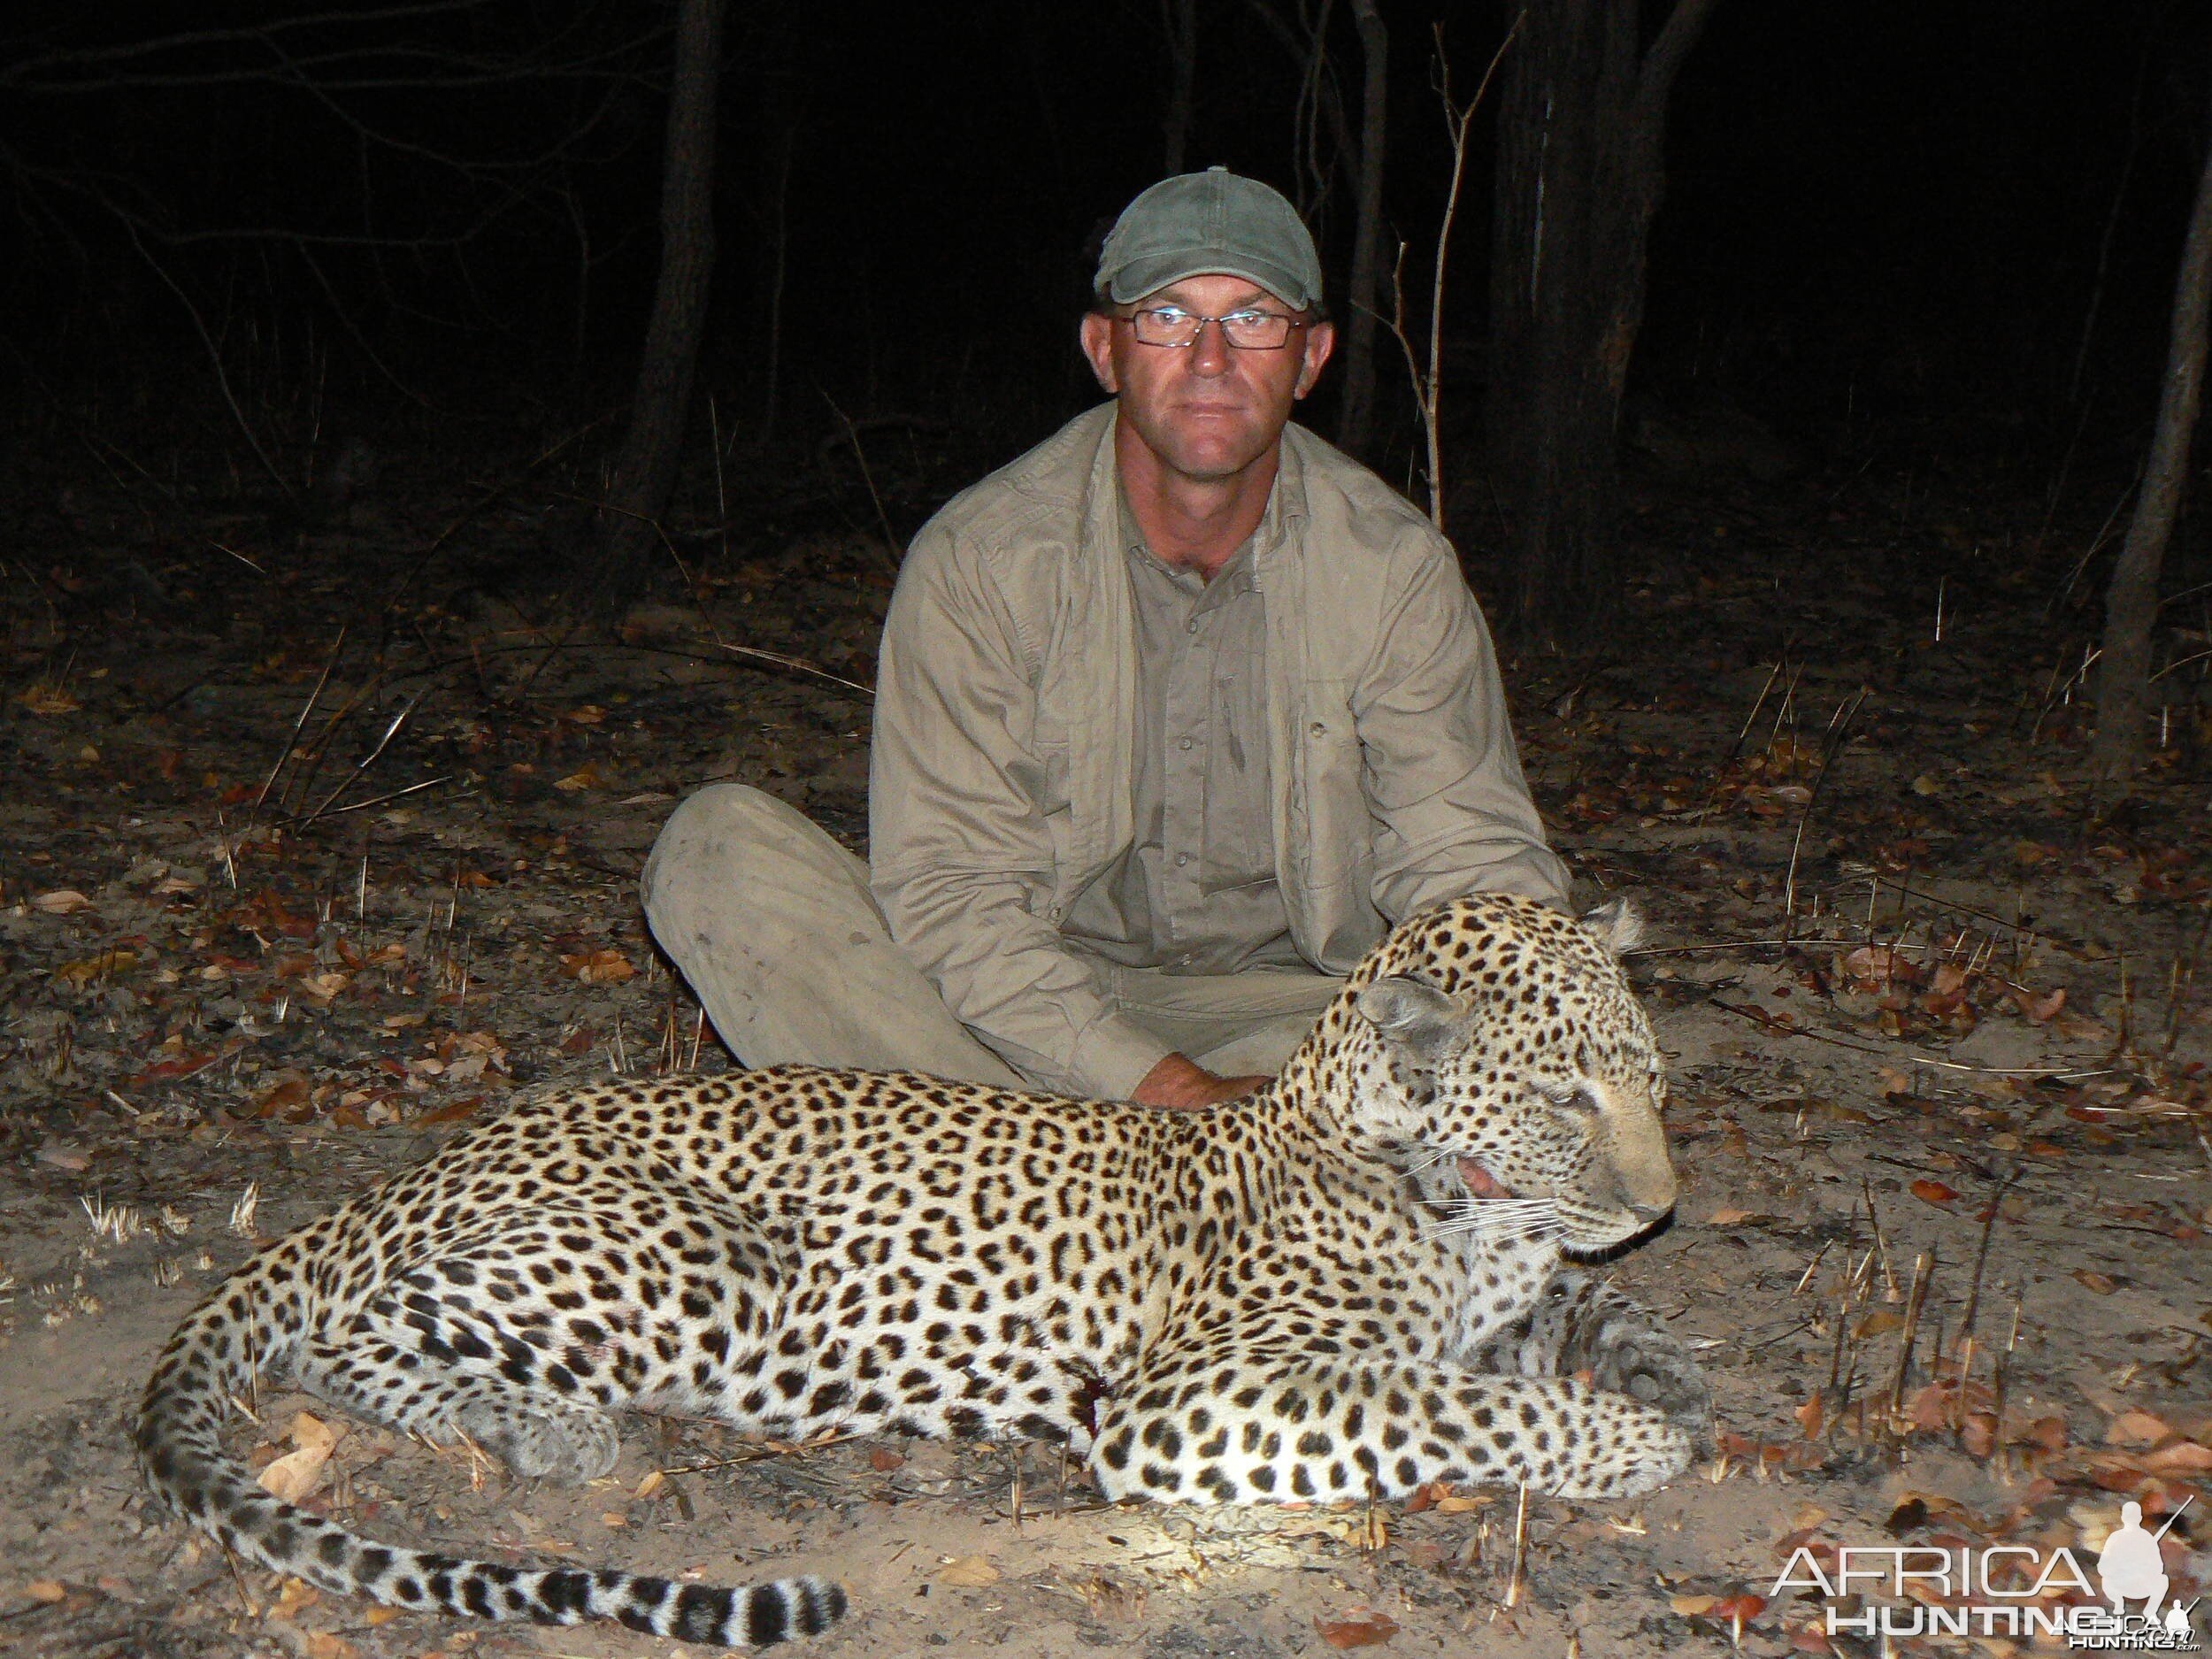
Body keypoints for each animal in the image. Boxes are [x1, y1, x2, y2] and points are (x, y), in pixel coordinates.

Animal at [138, 898, 1708, 1655]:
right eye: (1568, 1095)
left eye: (1653, 1080)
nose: (1664, 1203)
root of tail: (445, 1149)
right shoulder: (1192, 1397)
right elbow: (1452, 1403)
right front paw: (1630, 1436)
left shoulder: (1504, 1300)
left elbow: (1561, 1315)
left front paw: (1657, 1358)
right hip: (699, 1255)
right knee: (343, 1336)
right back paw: (544, 1424)